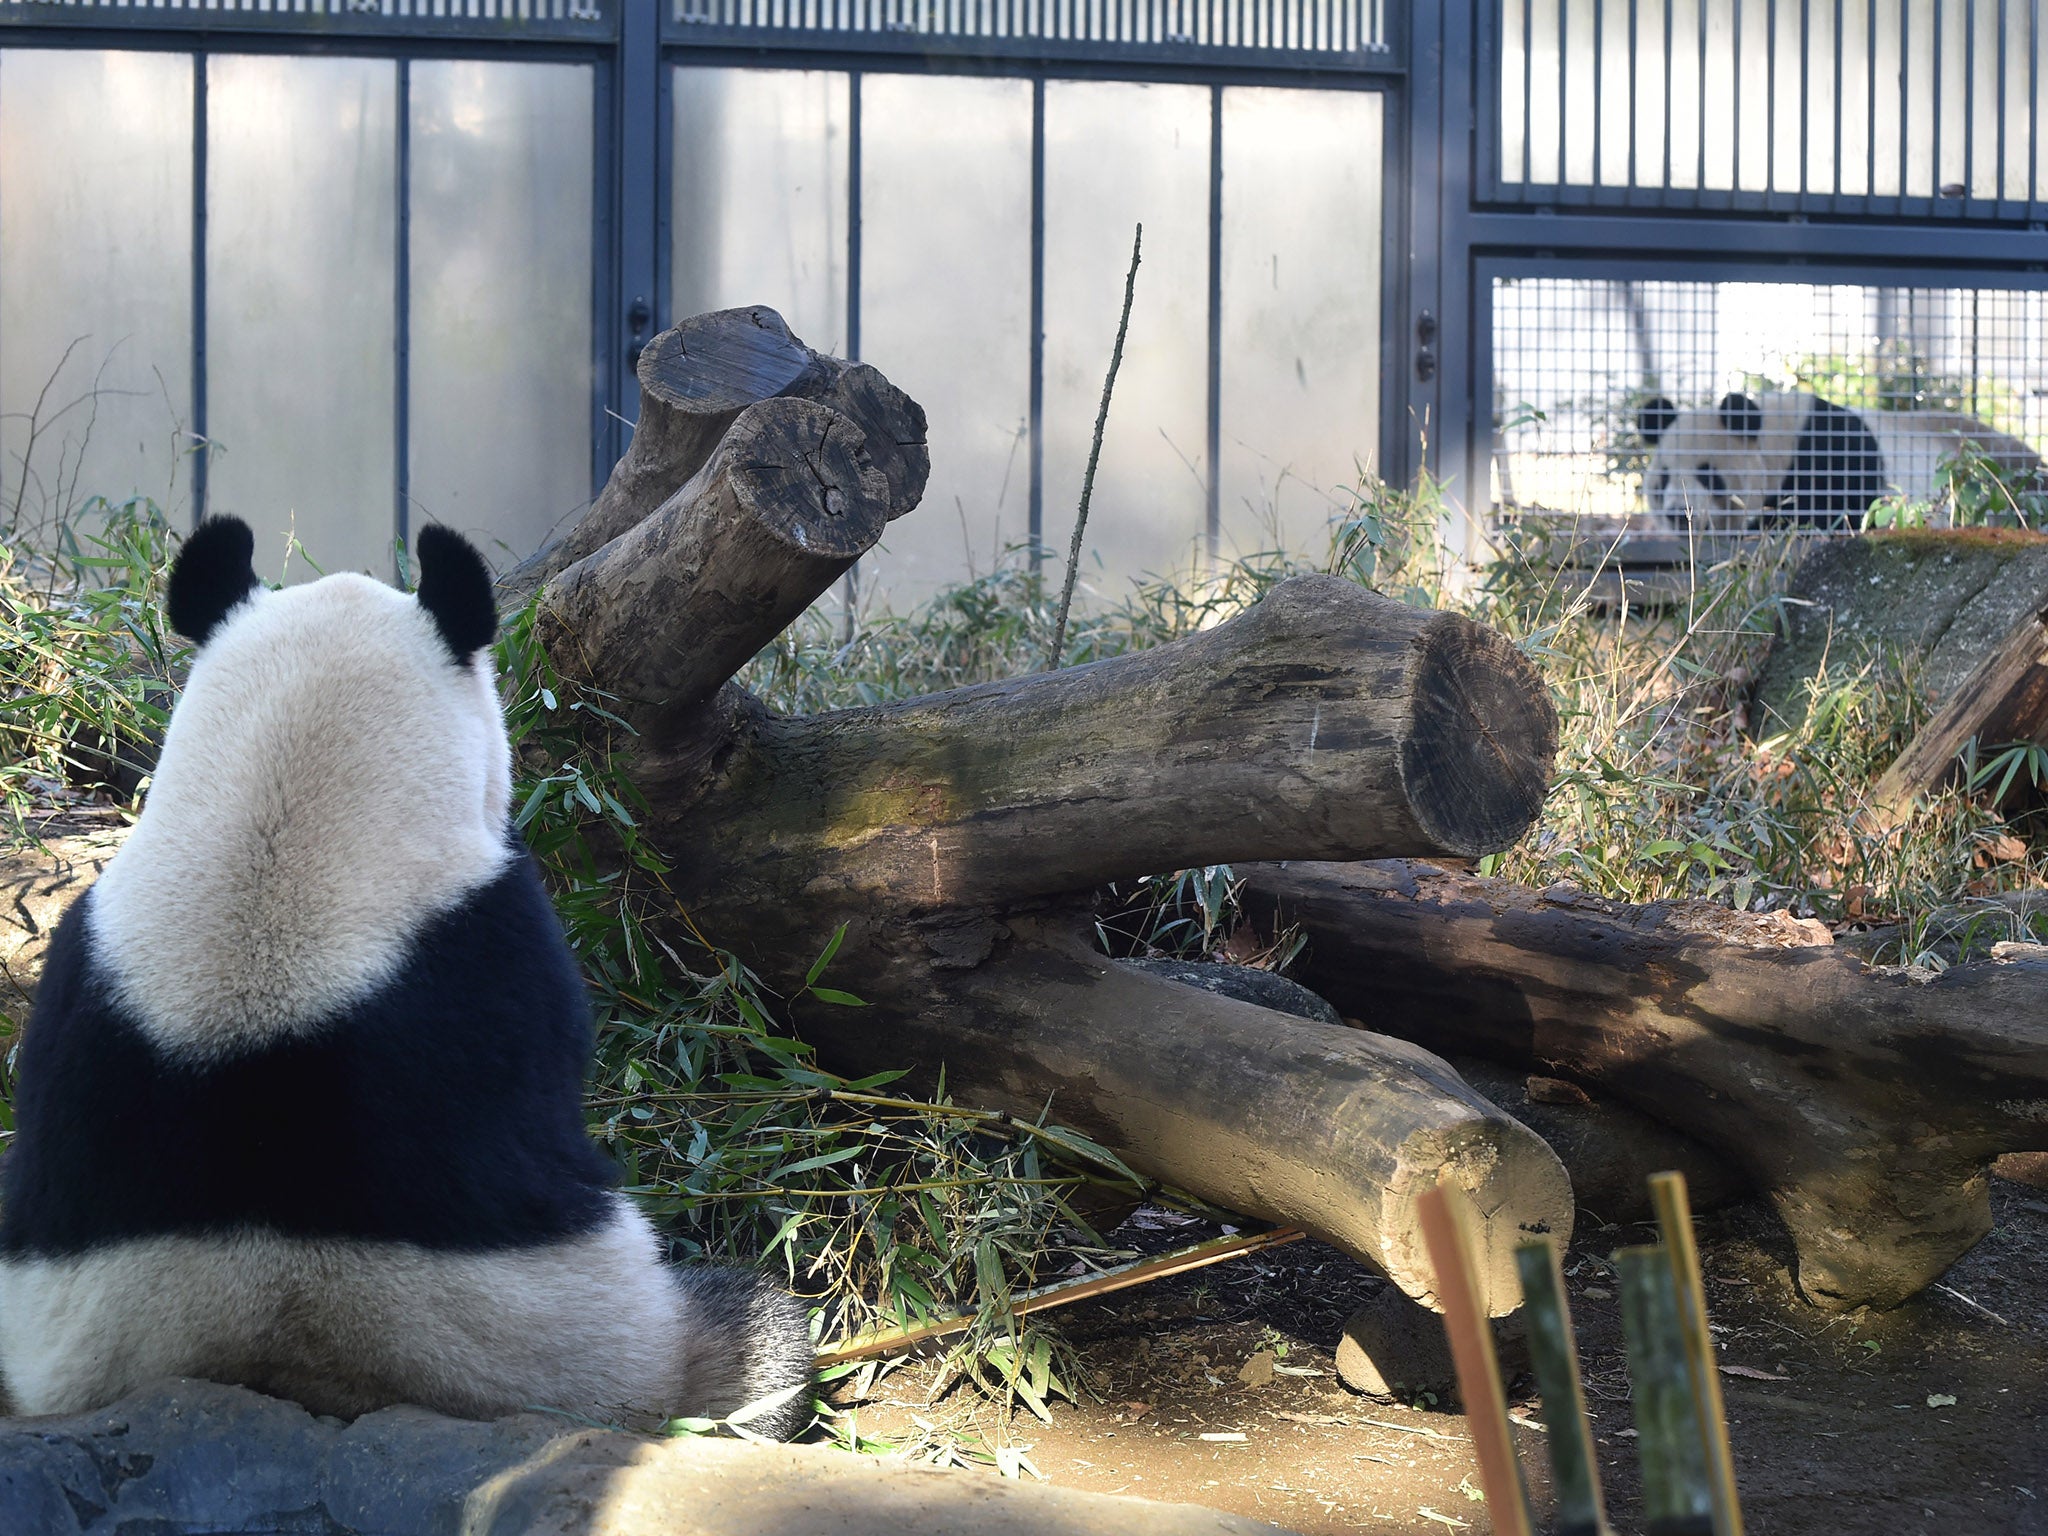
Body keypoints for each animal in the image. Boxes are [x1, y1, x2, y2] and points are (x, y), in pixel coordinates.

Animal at [0, 518, 815, 1441]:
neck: (278, 835)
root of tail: (302, 1377)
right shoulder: (504, 950)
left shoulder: (81, 972)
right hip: (623, 1361)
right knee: (759, 1341)